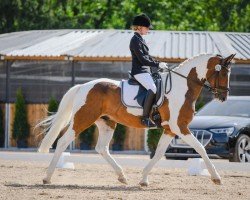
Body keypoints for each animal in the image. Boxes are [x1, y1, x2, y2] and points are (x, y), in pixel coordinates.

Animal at [36, 52, 235, 186]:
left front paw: (143, 179)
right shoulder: (180, 127)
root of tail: (83, 86)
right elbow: (201, 148)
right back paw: (46, 177)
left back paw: (122, 176)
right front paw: (216, 178)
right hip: (83, 119)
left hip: (107, 123)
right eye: (223, 73)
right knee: (62, 142)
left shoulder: (170, 129)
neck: (182, 87)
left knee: (101, 148)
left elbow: (159, 154)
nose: (223, 97)